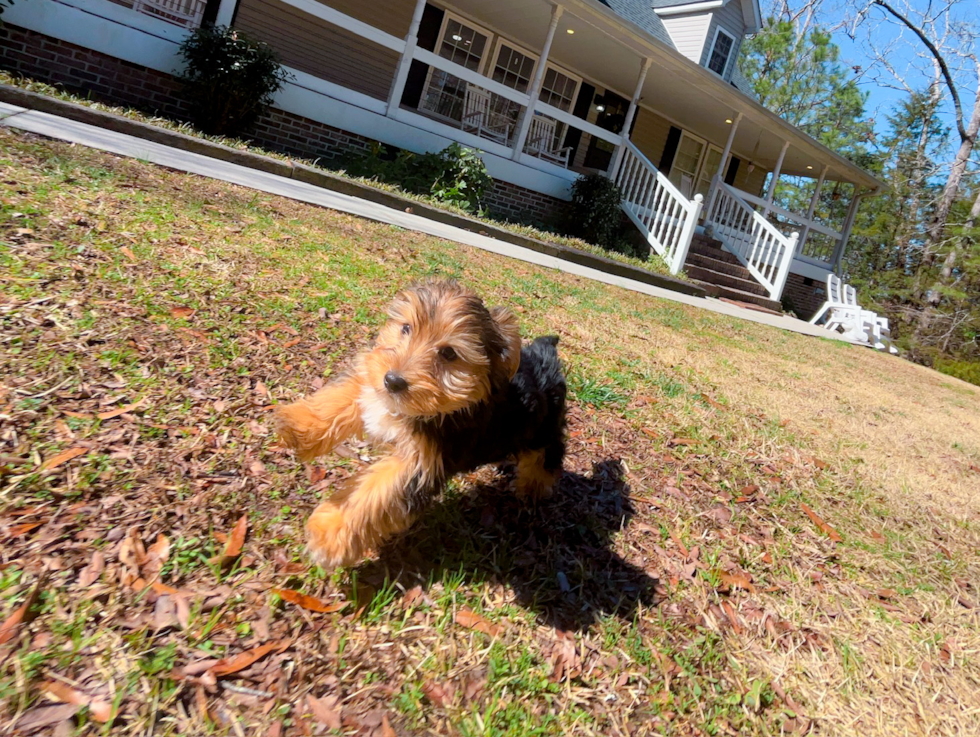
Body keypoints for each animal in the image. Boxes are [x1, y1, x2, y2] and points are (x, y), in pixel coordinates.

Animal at [276, 278, 568, 568]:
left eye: (448, 353)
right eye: (406, 328)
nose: (392, 381)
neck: (437, 409)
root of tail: (546, 358)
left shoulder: (422, 462)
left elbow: (376, 492)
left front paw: (329, 533)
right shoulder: (374, 388)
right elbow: (346, 394)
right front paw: (299, 425)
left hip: (544, 428)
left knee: (548, 454)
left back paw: (532, 486)